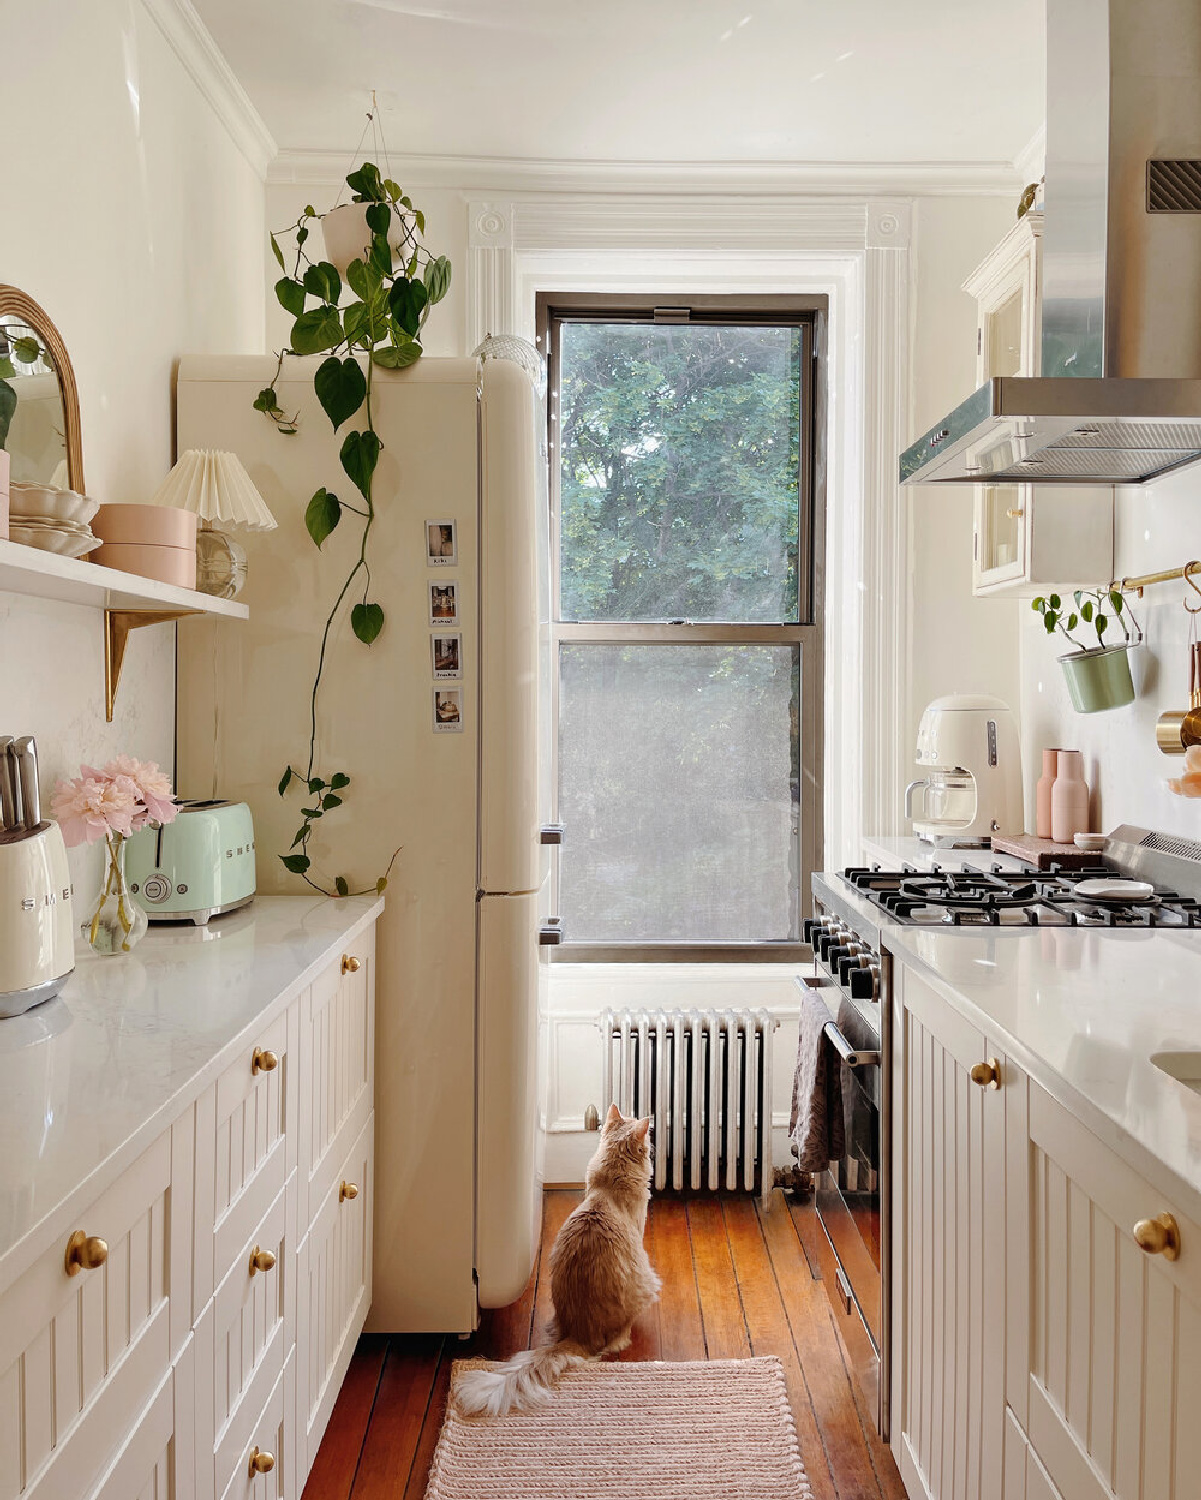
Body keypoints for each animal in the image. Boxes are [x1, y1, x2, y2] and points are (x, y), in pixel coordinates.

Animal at [455, 1104, 659, 1416]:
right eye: (646, 1141)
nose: (653, 1145)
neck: (608, 1186)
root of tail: (579, 1333)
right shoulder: (639, 1226)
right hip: (647, 1282)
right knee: (617, 1341)